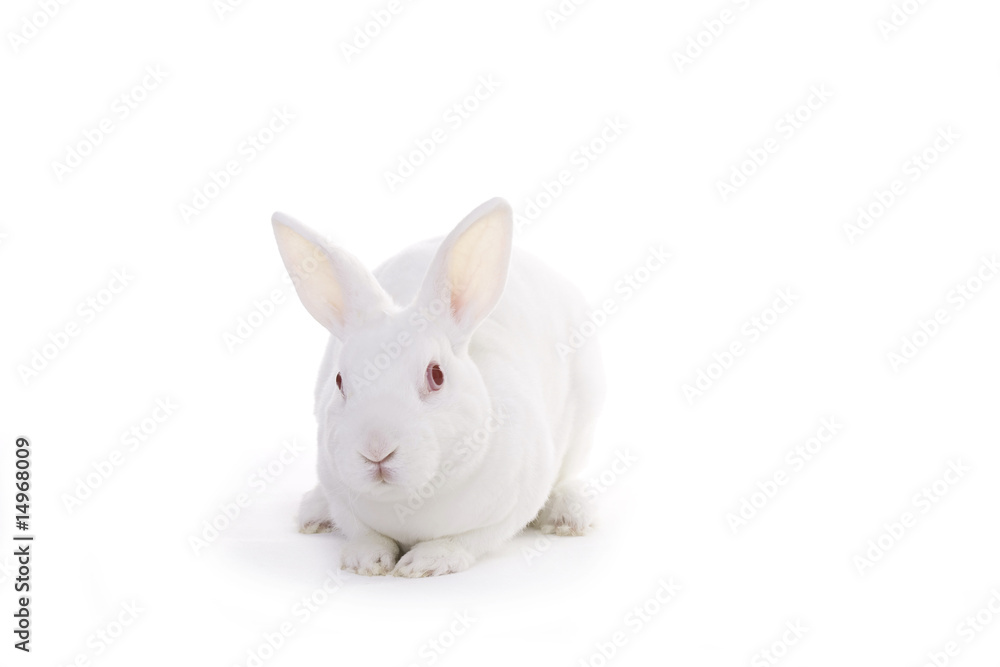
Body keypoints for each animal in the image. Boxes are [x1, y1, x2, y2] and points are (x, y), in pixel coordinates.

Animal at [271, 197, 605, 577]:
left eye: (437, 375)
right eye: (340, 381)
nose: (376, 449)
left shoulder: (514, 504)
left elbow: (468, 540)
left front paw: (424, 563)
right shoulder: (338, 491)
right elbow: (362, 532)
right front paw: (366, 561)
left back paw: (570, 516)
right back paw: (313, 512)